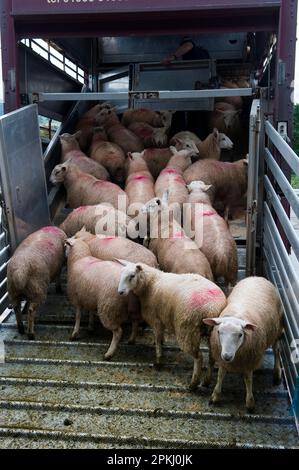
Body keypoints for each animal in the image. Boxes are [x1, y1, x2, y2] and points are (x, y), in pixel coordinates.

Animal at [117, 258, 227, 388]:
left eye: (132, 276)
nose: (120, 292)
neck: (151, 284)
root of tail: (213, 308)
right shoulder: (162, 316)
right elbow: (160, 337)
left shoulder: (155, 319)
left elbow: (158, 339)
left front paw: (159, 360)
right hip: (212, 334)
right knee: (211, 357)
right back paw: (206, 381)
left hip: (187, 330)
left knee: (199, 357)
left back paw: (193, 383)